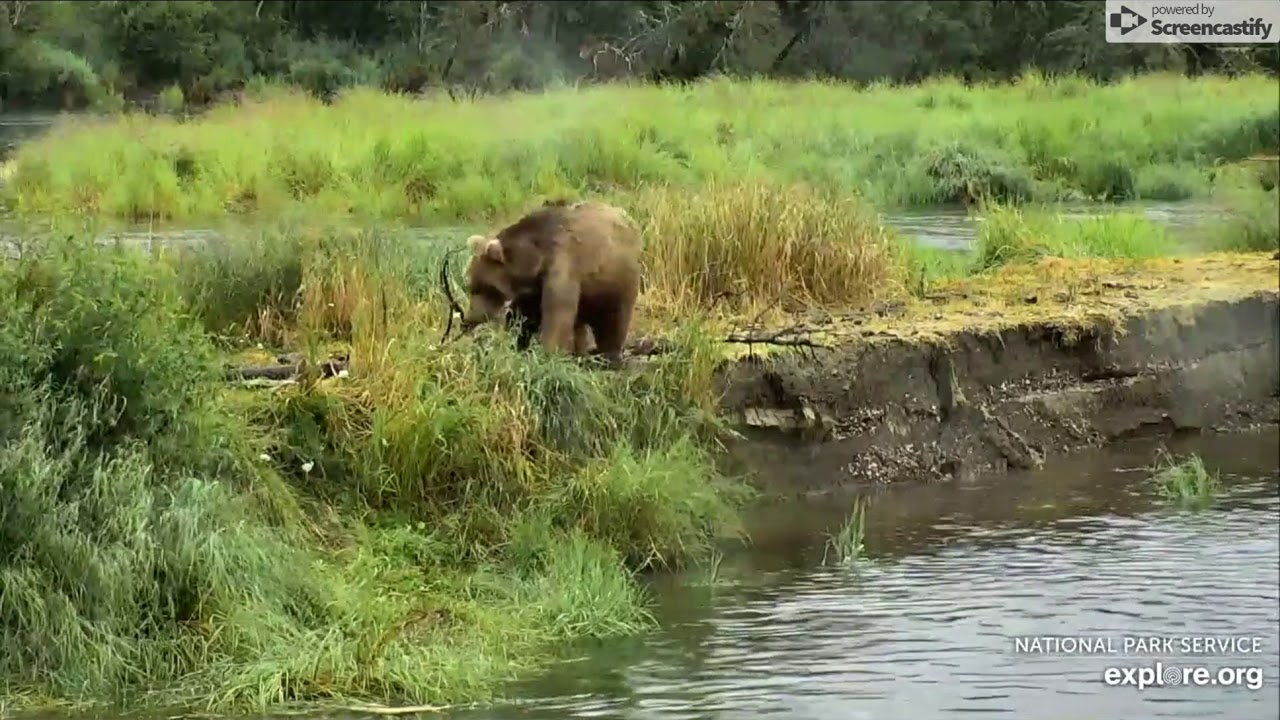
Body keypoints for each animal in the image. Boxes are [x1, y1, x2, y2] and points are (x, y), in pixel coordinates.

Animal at [461, 199, 642, 368]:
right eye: (471, 284)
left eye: (484, 286)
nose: (469, 318)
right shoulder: (535, 286)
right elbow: (524, 316)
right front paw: (519, 344)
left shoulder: (562, 267)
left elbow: (557, 316)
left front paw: (547, 353)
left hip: (617, 276)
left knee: (614, 318)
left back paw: (608, 357)